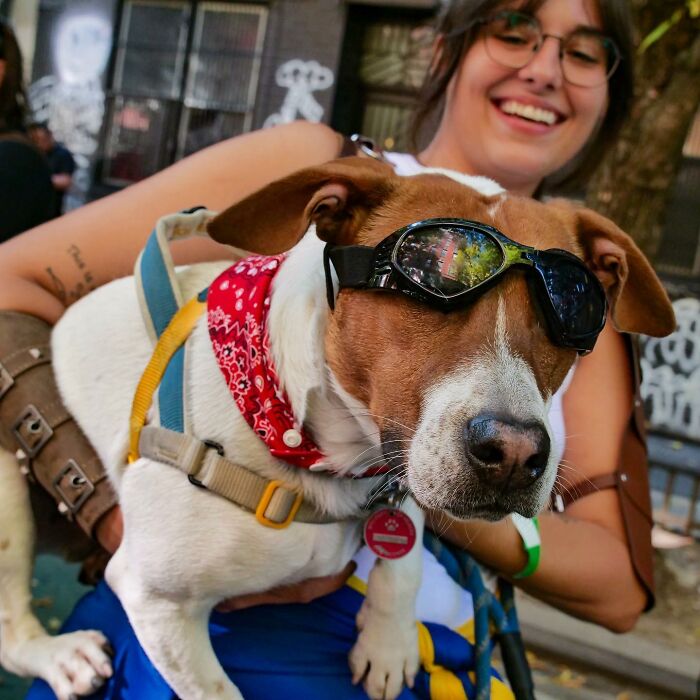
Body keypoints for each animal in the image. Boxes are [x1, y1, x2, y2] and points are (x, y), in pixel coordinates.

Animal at [0, 159, 676, 700]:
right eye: (429, 280)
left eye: (573, 311)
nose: (513, 453)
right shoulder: (156, 600)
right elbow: (218, 692)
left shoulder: (405, 464)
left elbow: (405, 543)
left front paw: (389, 639)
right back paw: (61, 656)